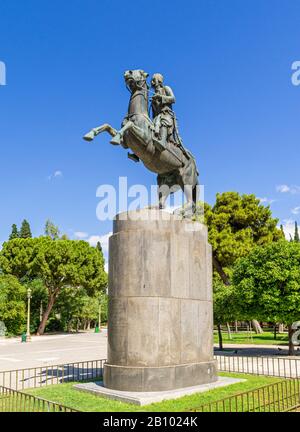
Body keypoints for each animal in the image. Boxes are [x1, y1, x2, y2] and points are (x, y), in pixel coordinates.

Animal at [83, 70, 199, 216]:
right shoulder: (125, 144)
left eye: (140, 72)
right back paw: (152, 208)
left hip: (185, 179)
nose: (127, 73)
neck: (138, 114)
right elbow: (107, 126)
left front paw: (115, 139)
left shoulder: (144, 140)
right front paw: (90, 134)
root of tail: (194, 164)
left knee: (190, 201)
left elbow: (129, 125)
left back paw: (178, 211)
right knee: (162, 202)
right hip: (164, 181)